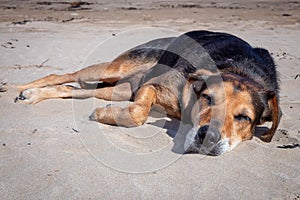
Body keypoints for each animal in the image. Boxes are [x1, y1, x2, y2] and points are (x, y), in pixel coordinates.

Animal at [14, 30, 282, 156]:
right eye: (207, 98)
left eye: (244, 118)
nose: (208, 137)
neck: (241, 69)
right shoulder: (154, 87)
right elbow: (138, 114)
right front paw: (109, 116)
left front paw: (103, 114)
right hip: (113, 69)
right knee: (61, 76)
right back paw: (16, 88)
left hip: (120, 89)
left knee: (70, 89)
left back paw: (32, 95)